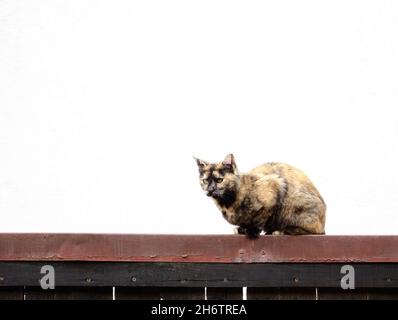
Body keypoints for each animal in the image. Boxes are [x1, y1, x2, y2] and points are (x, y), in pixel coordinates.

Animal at [194, 154, 326, 236]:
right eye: (205, 180)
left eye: (219, 180)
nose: (210, 190)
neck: (227, 204)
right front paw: (242, 229)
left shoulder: (275, 183)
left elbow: (261, 218)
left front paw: (252, 230)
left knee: (316, 232)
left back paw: (279, 231)